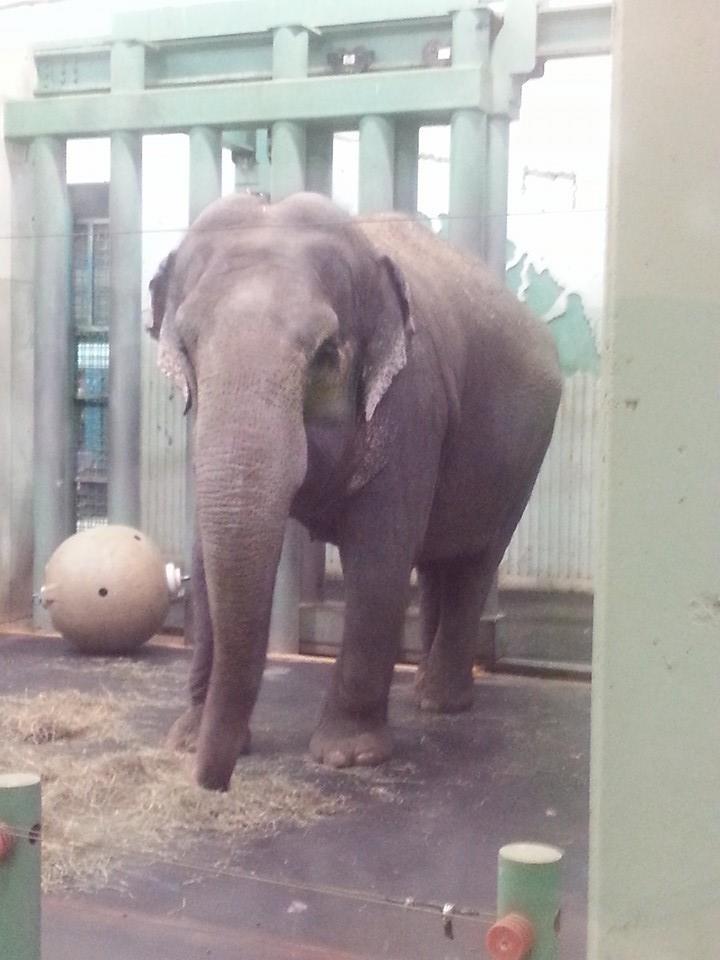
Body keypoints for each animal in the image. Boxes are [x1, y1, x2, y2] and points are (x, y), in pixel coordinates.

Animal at [148, 191, 562, 791]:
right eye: (188, 345)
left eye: (325, 355)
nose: (215, 783)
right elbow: (205, 552)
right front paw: (184, 740)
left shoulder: (412, 403)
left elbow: (380, 556)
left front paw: (349, 757)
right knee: (437, 560)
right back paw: (422, 691)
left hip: (521, 457)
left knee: (476, 560)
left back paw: (441, 703)